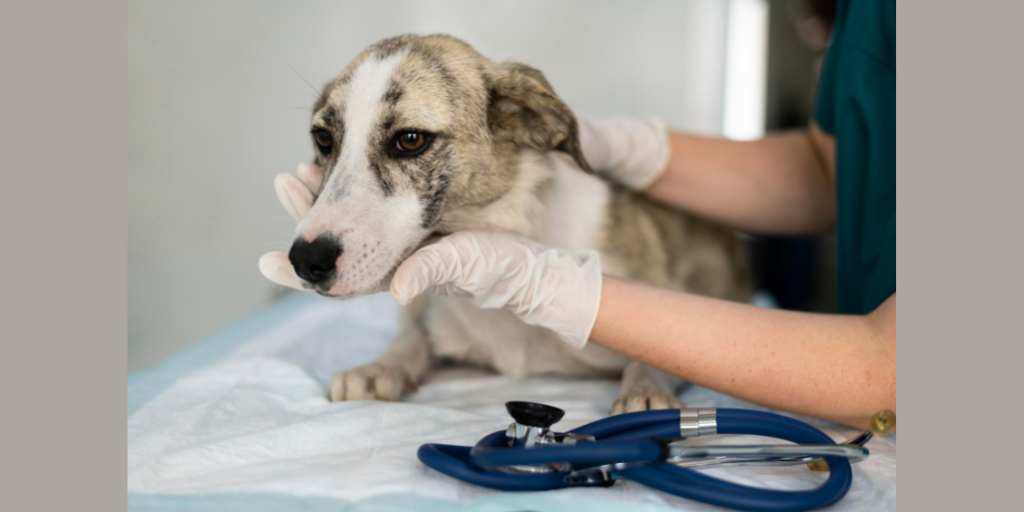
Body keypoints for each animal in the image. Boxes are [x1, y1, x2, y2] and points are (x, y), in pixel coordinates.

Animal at [284, 34, 749, 413]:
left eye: (410, 140)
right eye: (323, 138)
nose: (306, 261)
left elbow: (660, 356)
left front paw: (645, 390)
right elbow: (412, 338)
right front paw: (381, 366)